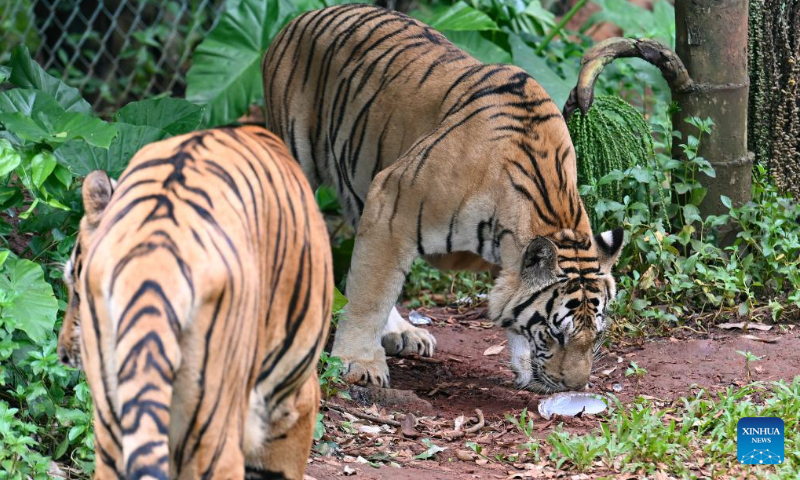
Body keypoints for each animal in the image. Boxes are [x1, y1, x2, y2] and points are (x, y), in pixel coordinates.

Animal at [56, 126, 332, 480]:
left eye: (76, 291)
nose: (63, 354)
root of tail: (153, 253)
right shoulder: (295, 401)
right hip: (212, 424)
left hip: (111, 422)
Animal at [262, 3, 624, 394]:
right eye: (556, 334)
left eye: (596, 336)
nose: (575, 386)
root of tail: (303, 16)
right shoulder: (392, 201)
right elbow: (369, 295)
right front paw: (358, 363)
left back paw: (404, 333)